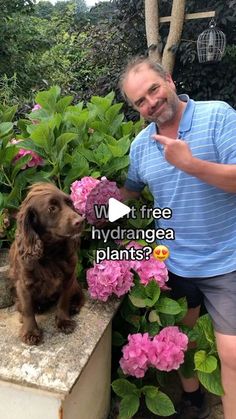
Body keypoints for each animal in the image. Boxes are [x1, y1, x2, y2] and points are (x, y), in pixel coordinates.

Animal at [9, 182, 85, 346]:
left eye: (70, 203)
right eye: (52, 208)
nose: (81, 221)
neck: (50, 253)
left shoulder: (68, 278)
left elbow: (63, 301)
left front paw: (64, 322)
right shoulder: (23, 284)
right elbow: (28, 309)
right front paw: (30, 332)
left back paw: (74, 305)